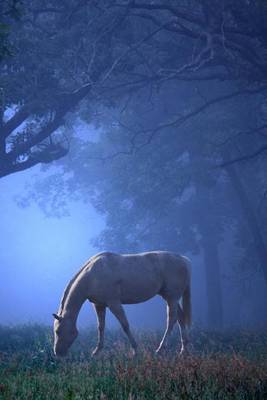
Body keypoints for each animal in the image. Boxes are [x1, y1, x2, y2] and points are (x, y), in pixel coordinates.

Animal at [52, 252, 191, 358]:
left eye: (58, 331)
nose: (57, 353)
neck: (92, 276)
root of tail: (183, 260)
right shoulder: (99, 305)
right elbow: (100, 327)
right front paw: (96, 352)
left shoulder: (114, 303)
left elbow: (125, 325)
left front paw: (135, 351)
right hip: (170, 298)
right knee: (180, 319)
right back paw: (183, 350)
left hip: (172, 298)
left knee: (171, 320)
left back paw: (160, 349)